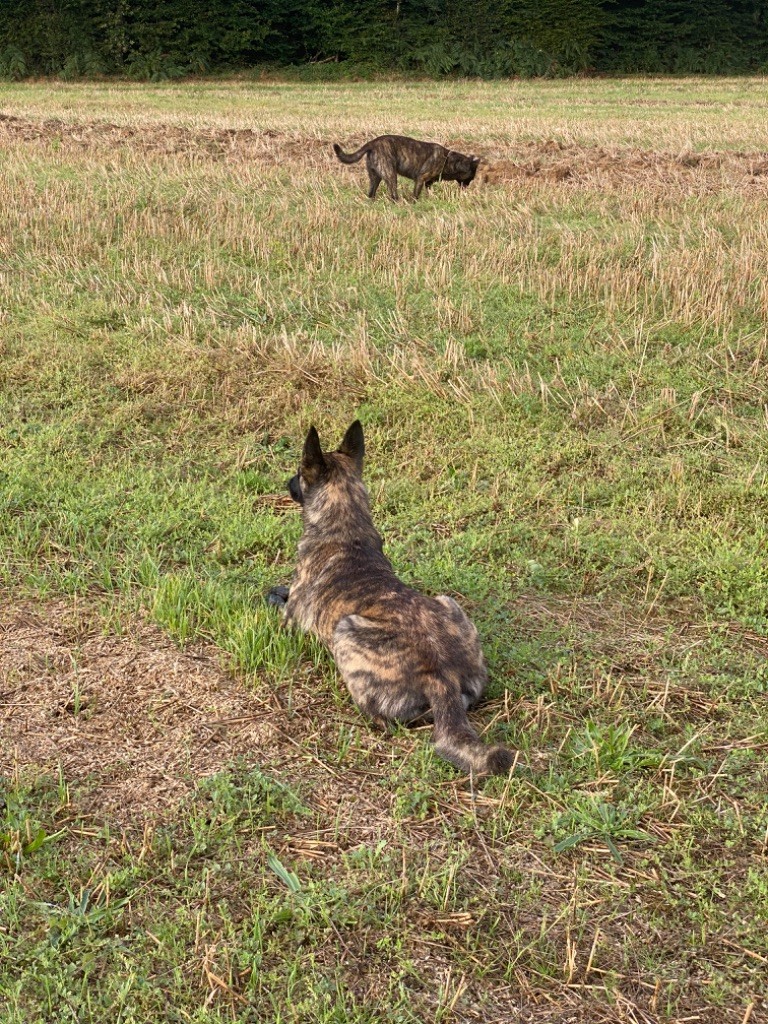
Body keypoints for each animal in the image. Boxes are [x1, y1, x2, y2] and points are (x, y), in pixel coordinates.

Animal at [270, 417, 518, 774]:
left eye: (299, 472)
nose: (286, 482)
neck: (345, 525)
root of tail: (441, 674)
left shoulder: (291, 621)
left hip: (346, 631)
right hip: (448, 603)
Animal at [331, 134, 479, 201]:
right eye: (471, 177)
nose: (468, 186)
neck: (447, 159)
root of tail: (372, 143)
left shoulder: (428, 183)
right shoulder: (420, 179)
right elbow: (416, 195)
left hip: (375, 177)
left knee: (371, 193)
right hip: (391, 175)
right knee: (393, 194)